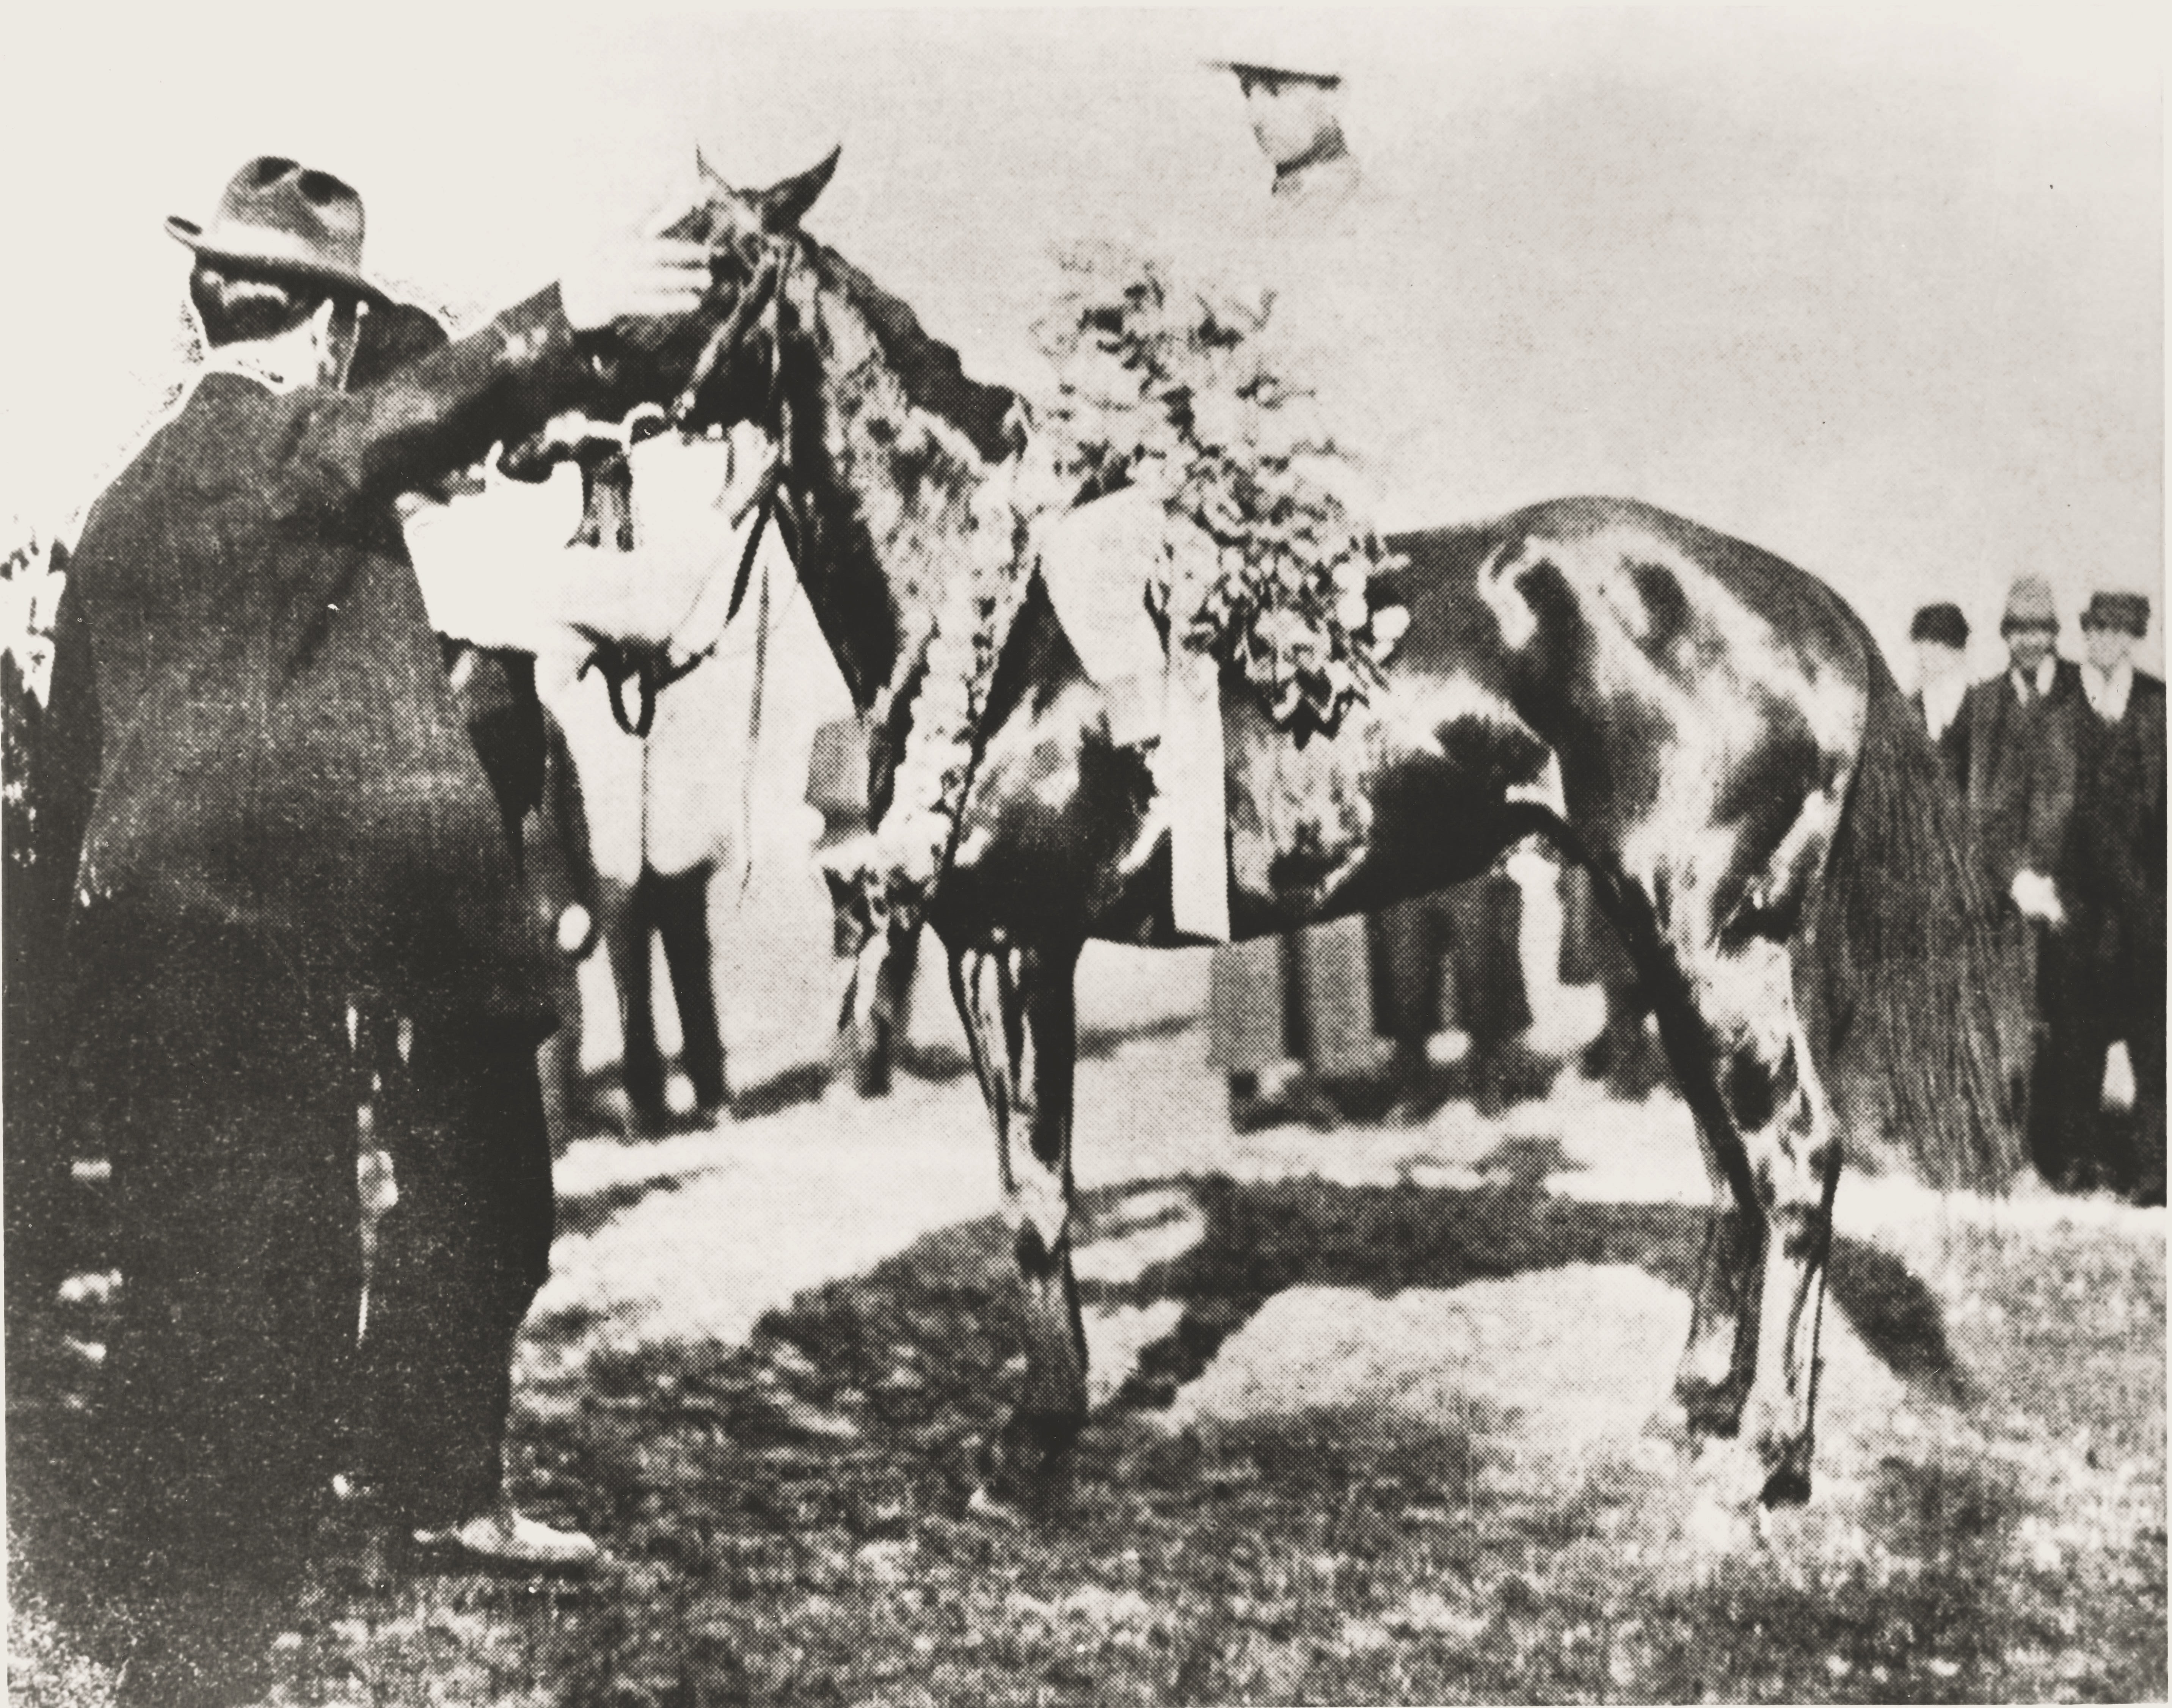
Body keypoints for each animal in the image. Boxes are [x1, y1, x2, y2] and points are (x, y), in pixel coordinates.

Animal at [530, 146, 2015, 1504]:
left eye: (696, 257)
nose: (546, 389)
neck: (993, 611)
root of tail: (1809, 605)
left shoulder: (1015, 945)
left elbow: (1037, 1190)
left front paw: (1037, 1433)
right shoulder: (987, 949)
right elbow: (1029, 1178)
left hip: (1714, 940)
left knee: (1793, 1157)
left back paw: (1768, 1455)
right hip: (1661, 940)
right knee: (1727, 1159)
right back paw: (1689, 1409)